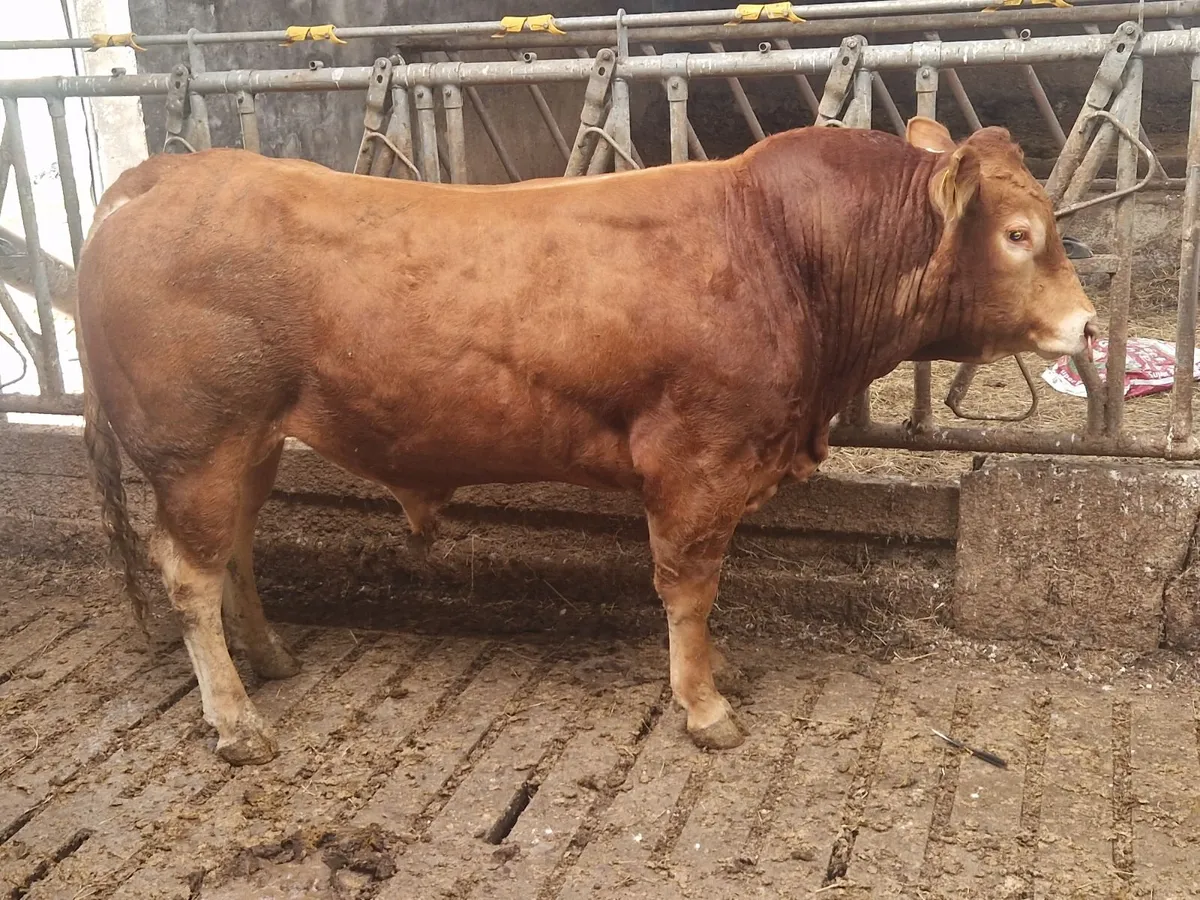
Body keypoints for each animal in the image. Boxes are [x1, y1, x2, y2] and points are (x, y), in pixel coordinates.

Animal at [76, 115, 1097, 765]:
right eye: (1018, 233)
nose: (1088, 327)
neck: (782, 250)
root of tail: (157, 176)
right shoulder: (697, 465)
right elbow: (689, 589)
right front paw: (705, 705)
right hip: (197, 446)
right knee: (189, 573)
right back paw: (238, 723)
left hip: (247, 444)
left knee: (235, 553)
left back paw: (271, 659)